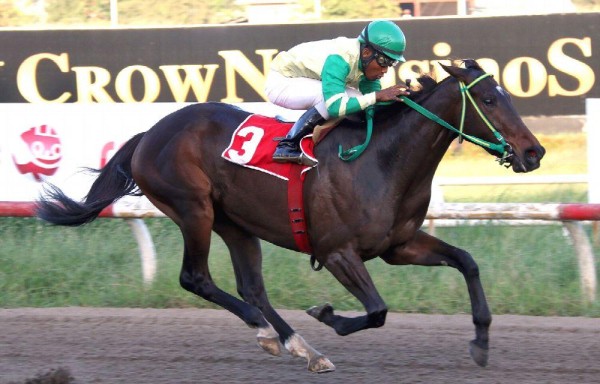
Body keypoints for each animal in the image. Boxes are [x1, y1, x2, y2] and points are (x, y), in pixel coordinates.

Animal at [37, 60, 544, 372]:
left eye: (508, 96)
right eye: (491, 100)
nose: (533, 152)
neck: (384, 160)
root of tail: (149, 133)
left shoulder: (399, 246)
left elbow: (467, 261)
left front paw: (481, 342)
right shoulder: (338, 251)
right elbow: (377, 311)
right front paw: (328, 314)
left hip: (236, 224)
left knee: (252, 287)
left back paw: (299, 345)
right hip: (193, 209)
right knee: (195, 278)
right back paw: (269, 332)